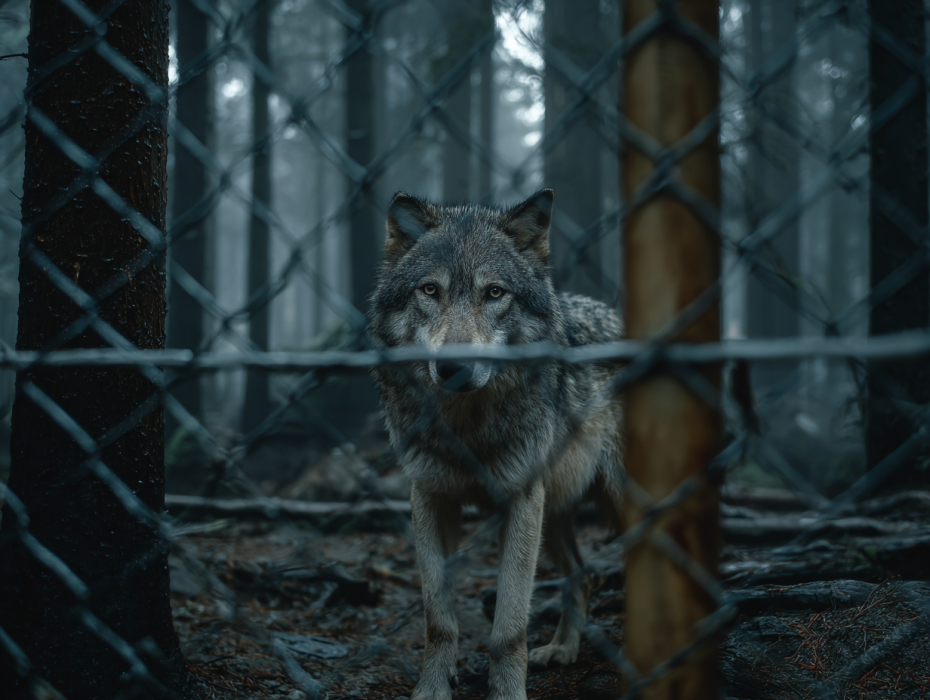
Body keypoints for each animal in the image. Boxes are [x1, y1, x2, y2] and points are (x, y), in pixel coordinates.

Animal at [368, 189, 625, 700]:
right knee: (583, 575)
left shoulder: (522, 503)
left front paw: (507, 693)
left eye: (494, 293)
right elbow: (439, 620)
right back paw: (563, 649)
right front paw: (432, 689)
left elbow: (508, 628)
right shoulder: (430, 497)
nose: (455, 368)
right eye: (430, 291)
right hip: (556, 514)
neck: (466, 426)